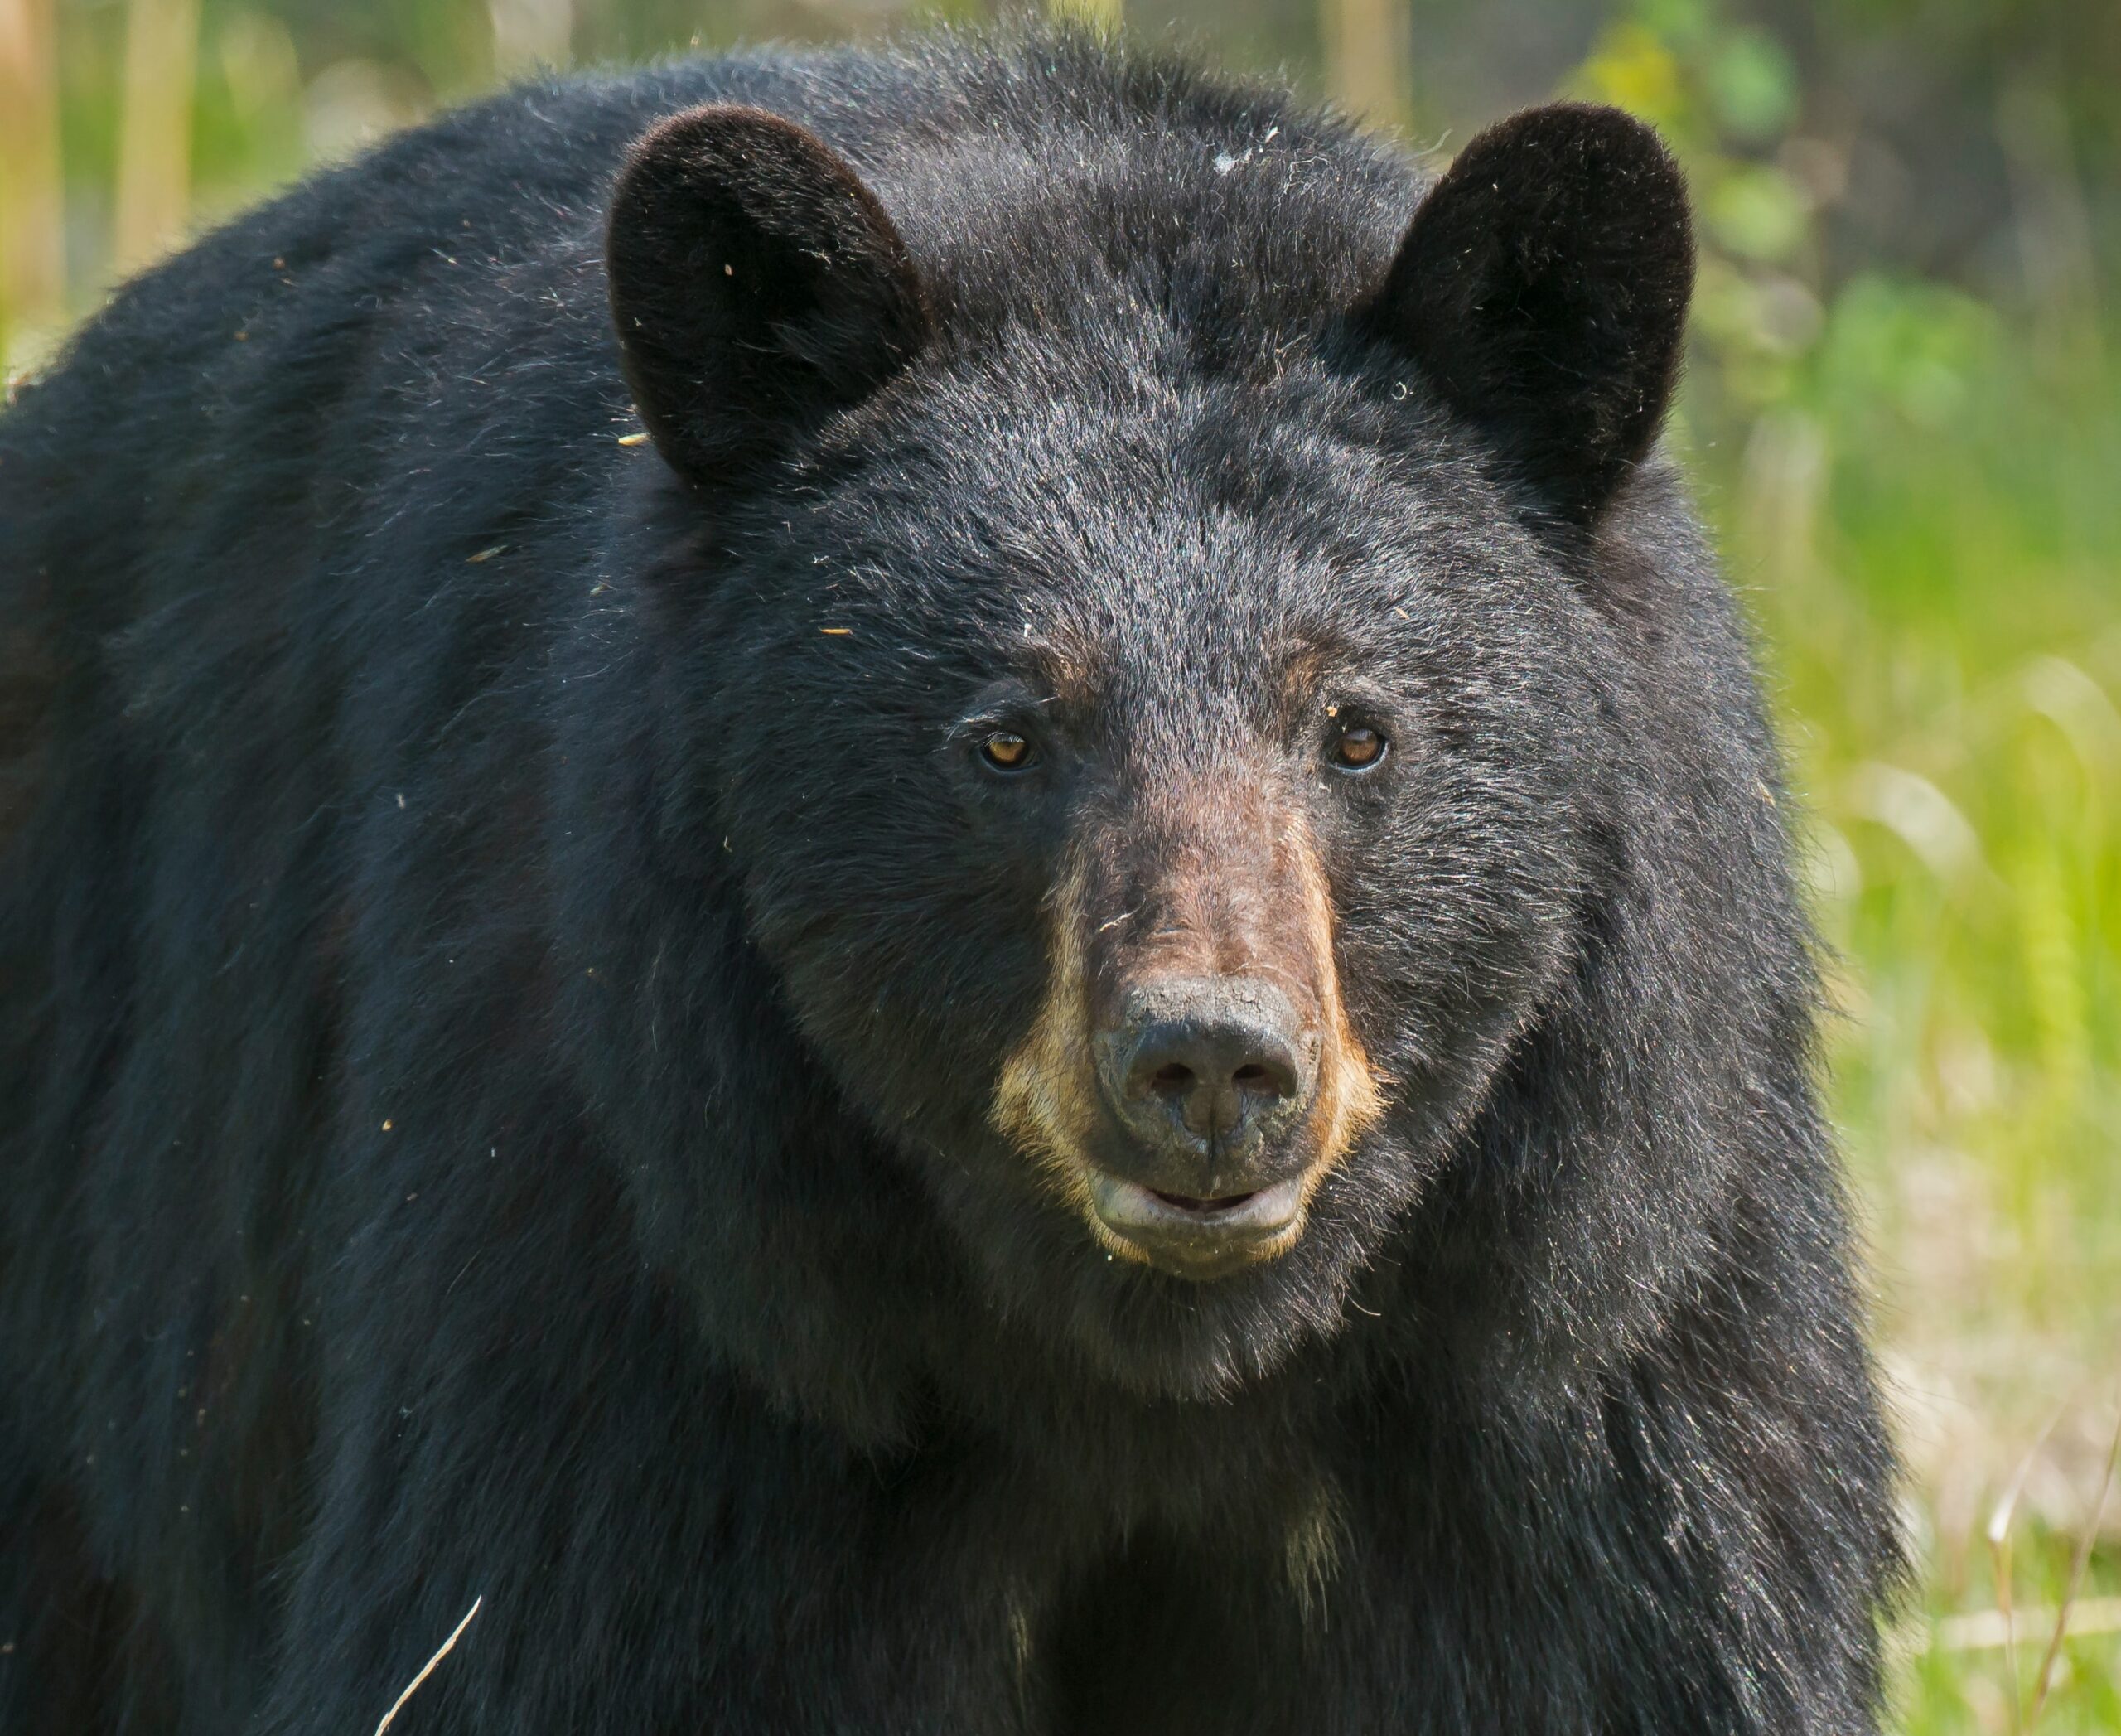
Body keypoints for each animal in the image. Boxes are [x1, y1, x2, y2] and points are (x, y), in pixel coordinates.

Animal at [0, 27, 1892, 1731]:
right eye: (1005, 738)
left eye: (1356, 731)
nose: (1211, 1063)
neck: (1148, 1361)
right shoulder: (643, 1262)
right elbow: (536, 1640)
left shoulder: (1583, 1331)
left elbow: (1644, 1641)